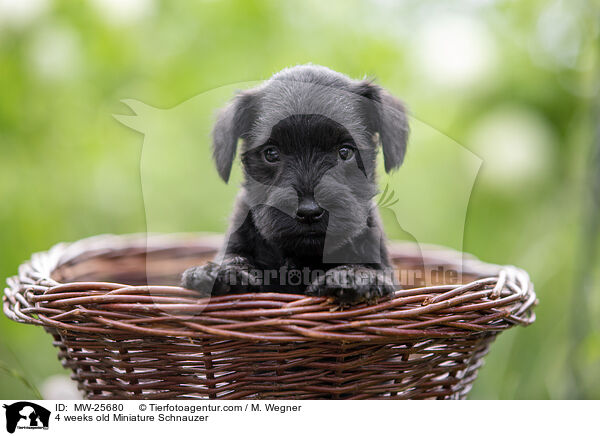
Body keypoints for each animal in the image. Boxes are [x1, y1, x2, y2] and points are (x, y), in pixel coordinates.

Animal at [180, 64, 410, 304]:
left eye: (345, 152)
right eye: (271, 153)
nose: (309, 211)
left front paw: (353, 275)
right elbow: (234, 256)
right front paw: (220, 271)